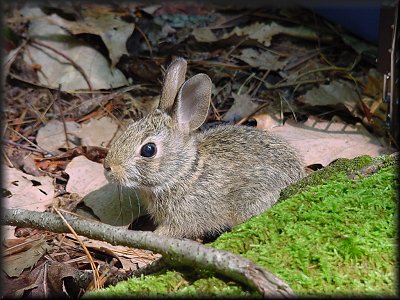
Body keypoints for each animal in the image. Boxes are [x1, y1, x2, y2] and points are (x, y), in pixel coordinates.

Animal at [103, 57, 304, 238]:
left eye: (148, 150)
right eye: (128, 128)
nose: (108, 167)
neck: (184, 173)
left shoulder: (186, 215)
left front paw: (152, 235)